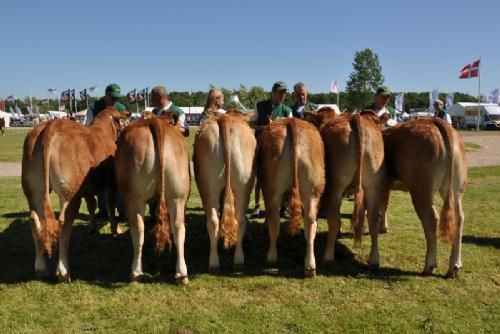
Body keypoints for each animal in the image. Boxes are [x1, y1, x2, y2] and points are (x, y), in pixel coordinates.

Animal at [21, 108, 131, 280]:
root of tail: (51, 125)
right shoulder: (111, 184)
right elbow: (110, 206)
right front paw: (116, 229)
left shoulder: (86, 188)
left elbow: (92, 205)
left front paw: (92, 227)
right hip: (69, 194)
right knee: (63, 222)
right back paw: (63, 271)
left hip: (34, 190)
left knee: (34, 219)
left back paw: (41, 268)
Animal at [114, 113, 190, 284]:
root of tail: (156, 123)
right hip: (177, 196)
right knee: (178, 227)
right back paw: (181, 273)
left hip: (134, 197)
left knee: (138, 229)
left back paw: (136, 271)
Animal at [192, 109, 256, 272]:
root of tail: (225, 119)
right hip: (242, 188)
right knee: (237, 219)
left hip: (211, 189)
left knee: (217, 220)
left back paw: (217, 261)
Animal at [258, 117, 324, 276]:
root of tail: (291, 121)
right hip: (312, 190)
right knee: (310, 221)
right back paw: (310, 266)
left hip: (271, 189)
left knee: (274, 219)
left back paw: (271, 256)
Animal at [380, 118, 466, 278]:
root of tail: (434, 121)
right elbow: (384, 205)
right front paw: (383, 227)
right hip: (455, 188)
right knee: (459, 217)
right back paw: (454, 267)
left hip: (421, 190)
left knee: (431, 218)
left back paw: (429, 266)